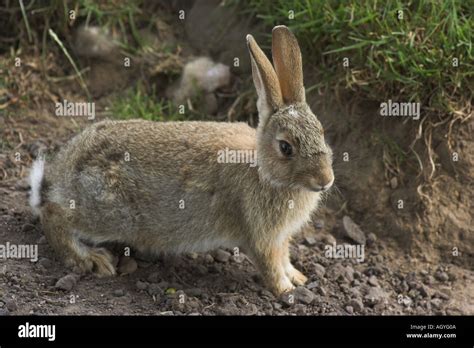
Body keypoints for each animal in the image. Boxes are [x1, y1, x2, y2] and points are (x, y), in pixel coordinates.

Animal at [28, 25, 334, 294]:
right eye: (285, 147)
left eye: (322, 132)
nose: (325, 180)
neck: (263, 171)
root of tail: (63, 170)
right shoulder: (260, 236)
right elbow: (270, 266)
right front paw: (285, 291)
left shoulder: (281, 238)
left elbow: (284, 258)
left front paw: (299, 278)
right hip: (111, 212)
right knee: (54, 215)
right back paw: (89, 259)